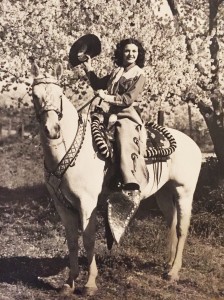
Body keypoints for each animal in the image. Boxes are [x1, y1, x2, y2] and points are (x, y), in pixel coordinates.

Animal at [31, 63, 201, 296]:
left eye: (60, 95)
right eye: (34, 95)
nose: (52, 129)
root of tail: (193, 144)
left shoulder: (87, 203)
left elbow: (89, 239)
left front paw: (90, 283)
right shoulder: (61, 205)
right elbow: (72, 241)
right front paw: (69, 282)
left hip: (184, 191)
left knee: (182, 228)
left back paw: (173, 272)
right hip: (164, 194)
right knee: (172, 223)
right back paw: (168, 265)